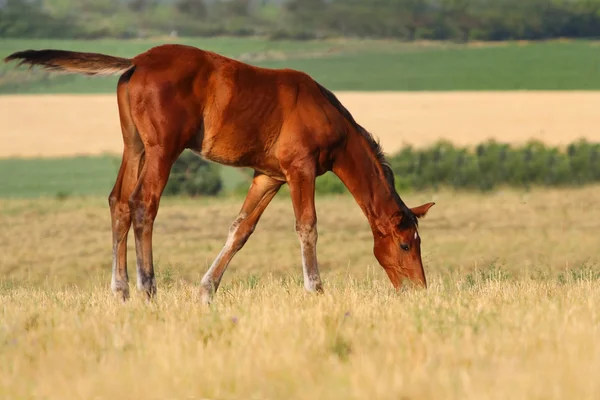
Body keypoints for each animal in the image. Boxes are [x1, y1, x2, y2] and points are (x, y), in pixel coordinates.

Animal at [4, 44, 436, 304]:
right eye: (404, 245)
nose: (419, 290)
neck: (328, 116)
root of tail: (136, 63)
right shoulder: (300, 169)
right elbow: (307, 226)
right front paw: (315, 289)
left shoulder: (269, 176)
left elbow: (241, 230)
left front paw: (207, 290)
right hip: (163, 149)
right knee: (144, 205)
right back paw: (147, 288)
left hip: (135, 146)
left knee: (119, 203)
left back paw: (121, 290)